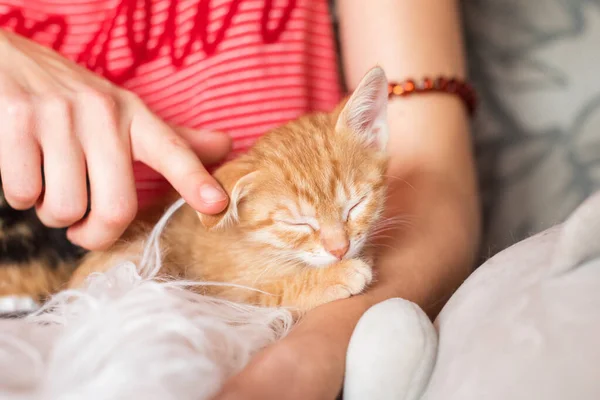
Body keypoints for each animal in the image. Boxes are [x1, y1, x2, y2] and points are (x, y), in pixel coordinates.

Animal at [70, 66, 392, 316]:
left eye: (356, 205)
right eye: (296, 224)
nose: (340, 250)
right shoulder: (226, 295)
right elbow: (269, 294)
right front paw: (334, 276)